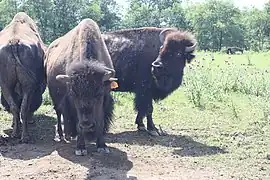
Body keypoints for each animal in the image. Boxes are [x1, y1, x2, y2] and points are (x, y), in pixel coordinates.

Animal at [0, 11, 46, 143]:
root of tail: (14, 41)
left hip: (6, 85)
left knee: (15, 107)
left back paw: (16, 134)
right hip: (26, 86)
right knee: (23, 108)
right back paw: (25, 136)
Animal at [45, 18, 117, 156]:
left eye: (99, 93)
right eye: (74, 94)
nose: (87, 125)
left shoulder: (103, 101)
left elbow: (100, 121)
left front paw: (102, 146)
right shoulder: (71, 103)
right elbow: (77, 124)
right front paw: (81, 148)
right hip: (55, 97)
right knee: (58, 113)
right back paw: (62, 136)